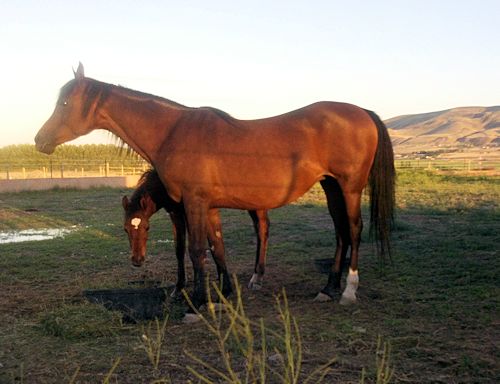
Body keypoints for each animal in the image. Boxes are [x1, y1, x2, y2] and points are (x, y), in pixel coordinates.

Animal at [121, 168, 270, 294]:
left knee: (262, 229)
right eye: (125, 229)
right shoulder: (175, 213)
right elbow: (180, 249)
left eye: (147, 227)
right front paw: (179, 287)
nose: (137, 260)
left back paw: (257, 278)